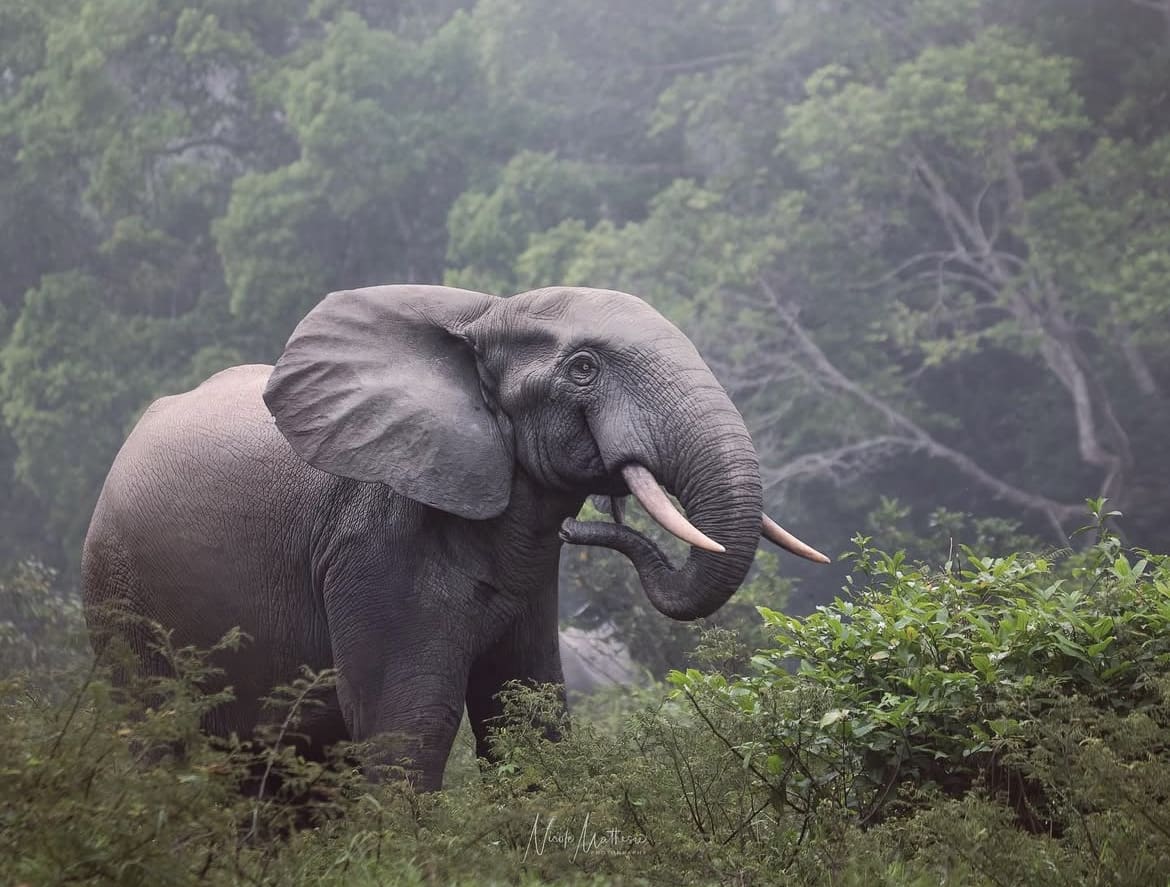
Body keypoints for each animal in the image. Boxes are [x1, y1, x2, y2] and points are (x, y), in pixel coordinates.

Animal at [82, 284, 828, 791]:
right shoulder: (373, 542)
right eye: (584, 367)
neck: (484, 314)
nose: (589, 521)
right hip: (121, 607)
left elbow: (524, 710)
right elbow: (407, 719)